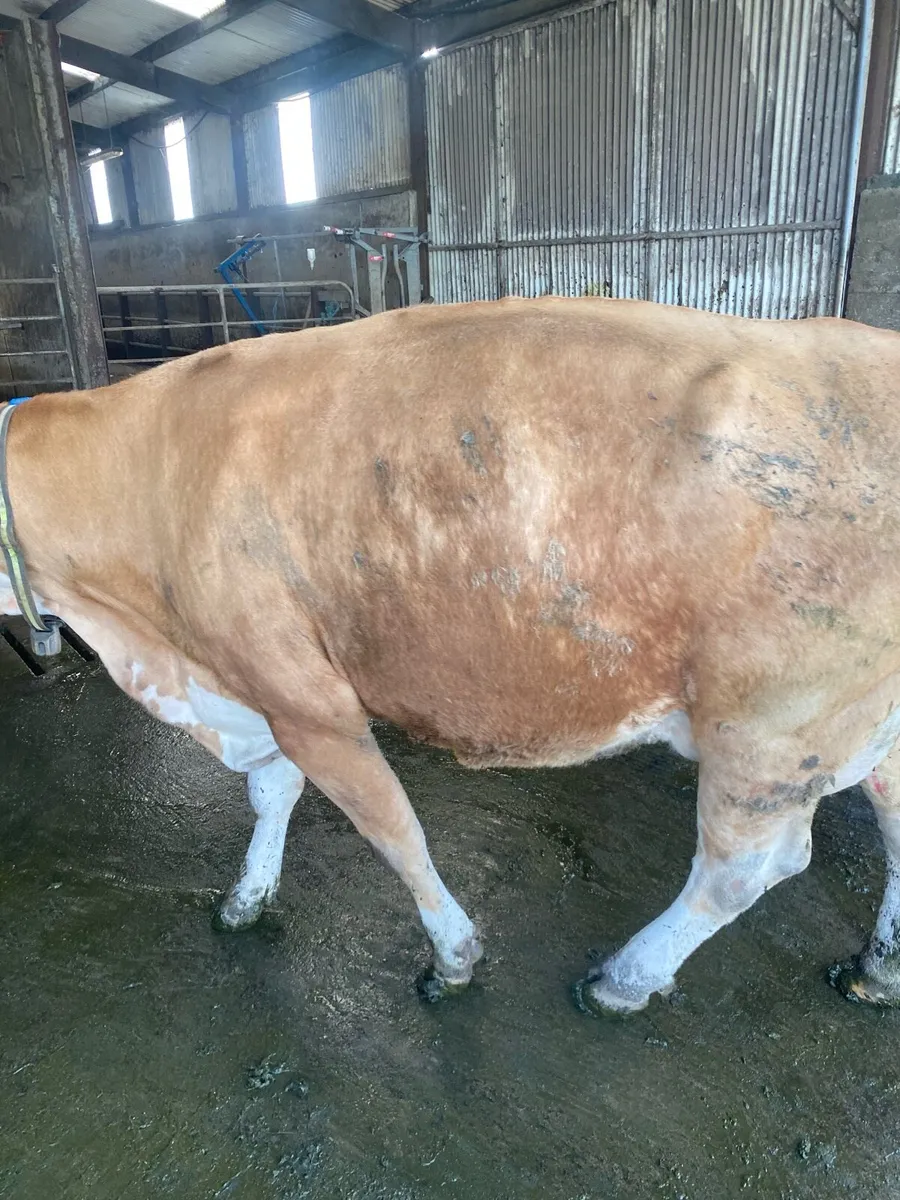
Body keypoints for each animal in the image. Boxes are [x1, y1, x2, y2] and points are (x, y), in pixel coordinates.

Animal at [2, 295, 900, 1016]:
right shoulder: (255, 685)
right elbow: (273, 793)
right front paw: (247, 896)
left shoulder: (304, 697)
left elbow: (392, 829)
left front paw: (453, 955)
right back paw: (877, 969)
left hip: (773, 725)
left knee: (747, 867)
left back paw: (625, 978)